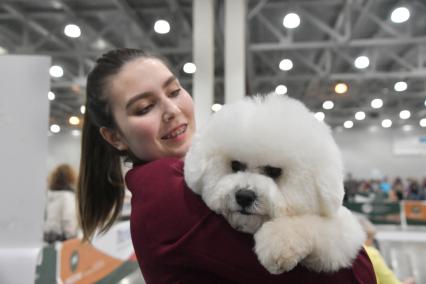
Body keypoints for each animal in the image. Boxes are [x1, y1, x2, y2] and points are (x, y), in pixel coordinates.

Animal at [185, 94, 364, 274]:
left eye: (273, 171)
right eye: (235, 165)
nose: (244, 196)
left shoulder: (343, 234)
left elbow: (315, 225)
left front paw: (278, 243)